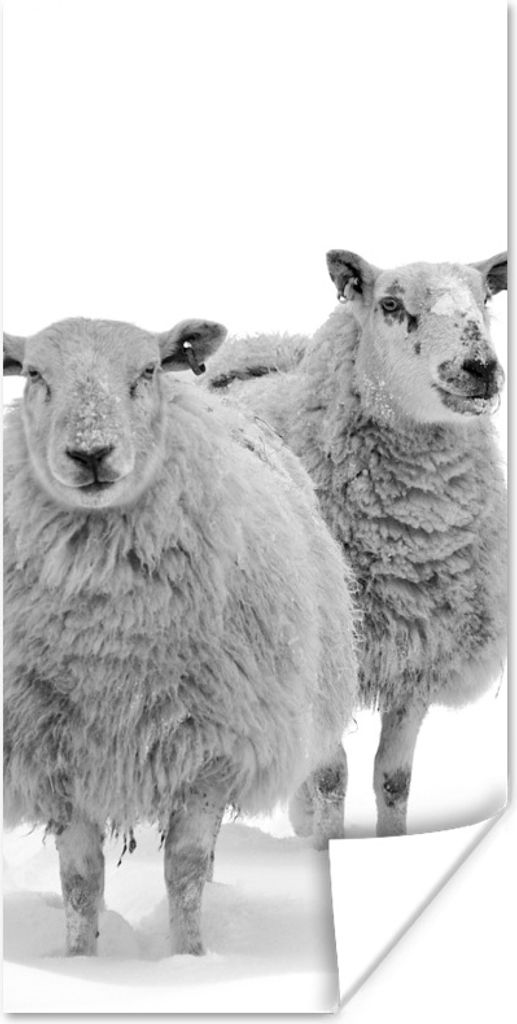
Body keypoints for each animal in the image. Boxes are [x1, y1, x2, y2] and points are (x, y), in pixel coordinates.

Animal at [3, 315, 358, 957]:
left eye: (147, 370)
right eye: (35, 374)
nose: (90, 453)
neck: (109, 646)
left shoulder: (212, 751)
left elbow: (184, 871)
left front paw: (189, 959)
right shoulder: (54, 757)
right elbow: (80, 883)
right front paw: (80, 961)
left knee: (329, 775)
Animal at [205, 250, 508, 836]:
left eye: (485, 297)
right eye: (390, 305)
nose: (480, 367)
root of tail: (253, 352)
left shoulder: (416, 661)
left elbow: (393, 778)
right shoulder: (323, 660)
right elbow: (329, 780)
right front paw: (325, 845)